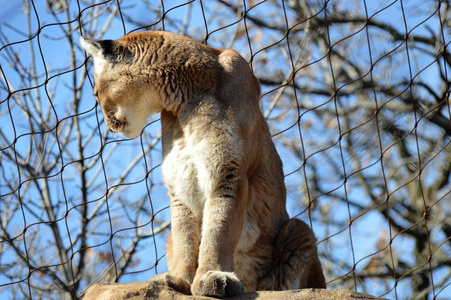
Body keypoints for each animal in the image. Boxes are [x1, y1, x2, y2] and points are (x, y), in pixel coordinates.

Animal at [81, 31, 326, 298]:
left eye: (95, 94)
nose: (108, 126)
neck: (185, 98)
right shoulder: (180, 181)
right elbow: (184, 236)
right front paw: (180, 280)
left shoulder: (228, 173)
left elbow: (218, 231)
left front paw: (212, 275)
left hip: (298, 230)